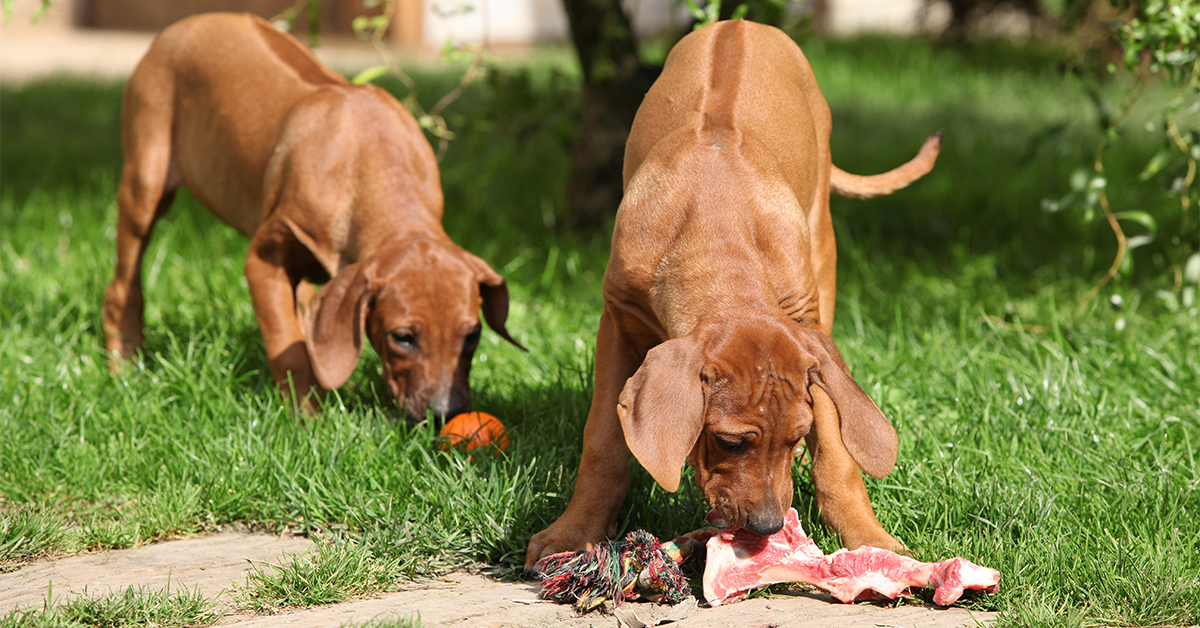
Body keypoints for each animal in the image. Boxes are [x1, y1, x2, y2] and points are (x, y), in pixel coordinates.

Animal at [108, 12, 525, 420]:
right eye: (403, 337)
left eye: (471, 336)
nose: (444, 414)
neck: (376, 170)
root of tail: (187, 22)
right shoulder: (263, 261)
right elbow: (289, 345)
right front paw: (307, 416)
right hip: (146, 178)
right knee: (122, 285)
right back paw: (122, 365)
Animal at [525, 20, 936, 569]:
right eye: (729, 442)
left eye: (794, 435)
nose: (766, 527)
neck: (716, 228)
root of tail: (742, 23)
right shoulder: (617, 320)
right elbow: (602, 442)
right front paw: (574, 532)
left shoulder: (808, 331)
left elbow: (836, 442)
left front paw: (867, 535)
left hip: (822, 245)